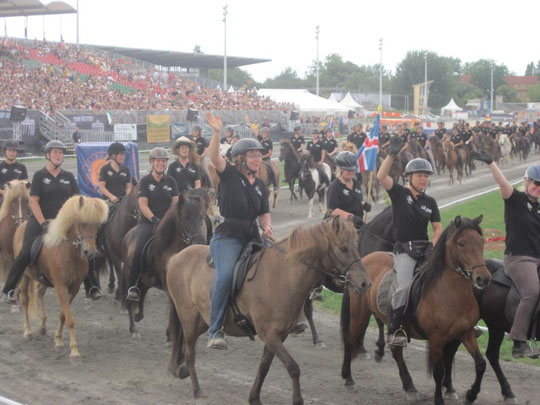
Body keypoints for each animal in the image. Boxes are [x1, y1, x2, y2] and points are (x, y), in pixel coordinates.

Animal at [15, 195, 107, 362]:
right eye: (82, 223)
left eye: (97, 225)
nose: (89, 252)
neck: (68, 251)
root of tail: (21, 225)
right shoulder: (60, 286)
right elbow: (70, 319)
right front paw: (74, 353)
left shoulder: (74, 287)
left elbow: (64, 315)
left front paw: (58, 341)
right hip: (25, 275)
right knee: (25, 299)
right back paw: (28, 331)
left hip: (44, 279)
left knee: (40, 292)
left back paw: (42, 326)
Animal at [167, 218, 374, 404]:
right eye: (344, 248)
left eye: (355, 246)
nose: (365, 283)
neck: (281, 276)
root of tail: (176, 258)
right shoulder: (269, 334)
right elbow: (293, 367)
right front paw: (298, 400)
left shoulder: (277, 336)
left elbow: (264, 366)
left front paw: (254, 398)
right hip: (189, 319)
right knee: (190, 352)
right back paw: (197, 390)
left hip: (202, 321)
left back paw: (182, 370)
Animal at [344, 215, 492, 404]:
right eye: (461, 243)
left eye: (481, 241)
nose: (483, 278)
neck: (450, 292)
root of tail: (366, 259)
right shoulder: (436, 338)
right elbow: (438, 371)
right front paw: (439, 399)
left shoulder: (465, 333)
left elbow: (480, 364)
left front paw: (471, 395)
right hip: (359, 315)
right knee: (349, 340)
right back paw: (348, 379)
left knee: (396, 352)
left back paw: (410, 387)